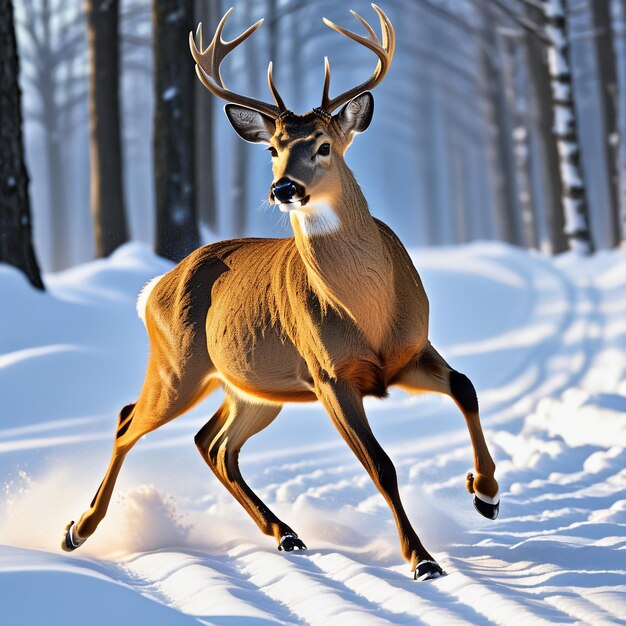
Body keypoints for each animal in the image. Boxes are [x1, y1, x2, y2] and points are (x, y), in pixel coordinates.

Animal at [62, 4, 498, 580]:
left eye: (324, 146)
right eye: (272, 149)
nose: (284, 188)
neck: (369, 313)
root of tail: (156, 286)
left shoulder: (410, 351)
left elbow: (467, 386)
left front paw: (485, 493)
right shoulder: (329, 373)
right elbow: (381, 464)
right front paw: (423, 560)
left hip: (255, 385)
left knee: (213, 443)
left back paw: (286, 532)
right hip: (179, 366)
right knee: (128, 420)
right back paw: (78, 529)